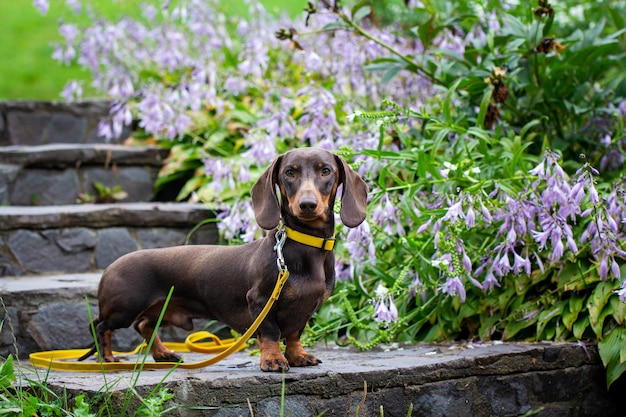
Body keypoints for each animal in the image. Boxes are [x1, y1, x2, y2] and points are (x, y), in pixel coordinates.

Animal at [80, 147, 368, 370]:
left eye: (325, 171)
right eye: (290, 172)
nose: (307, 204)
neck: (305, 245)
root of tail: (110, 266)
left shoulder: (306, 308)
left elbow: (295, 334)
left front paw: (298, 356)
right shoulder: (260, 301)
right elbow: (271, 332)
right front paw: (273, 360)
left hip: (158, 308)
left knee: (144, 325)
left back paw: (163, 354)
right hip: (124, 308)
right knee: (101, 326)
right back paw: (107, 357)